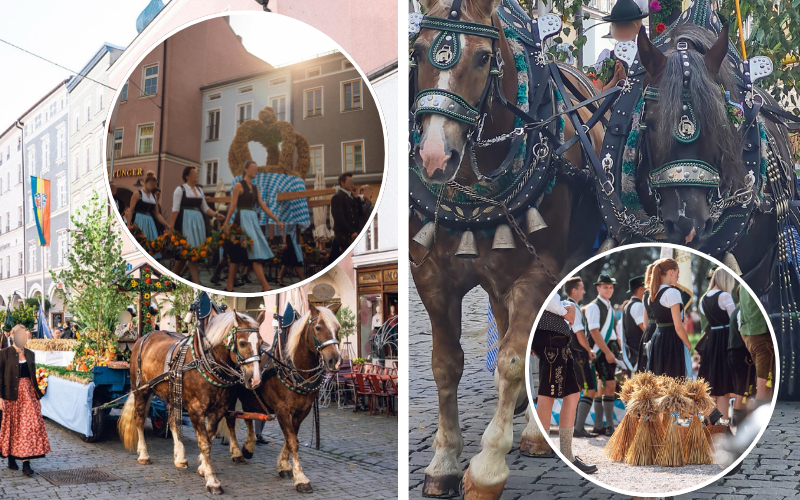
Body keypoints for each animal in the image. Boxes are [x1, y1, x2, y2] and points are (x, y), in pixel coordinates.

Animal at [117, 310, 260, 494]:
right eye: (242, 343)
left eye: (261, 343)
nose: (255, 379)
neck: (206, 363)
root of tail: (144, 337)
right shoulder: (196, 410)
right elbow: (204, 443)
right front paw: (212, 480)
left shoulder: (218, 410)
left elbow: (209, 438)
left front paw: (203, 467)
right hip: (141, 390)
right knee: (139, 419)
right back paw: (143, 454)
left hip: (173, 395)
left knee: (172, 421)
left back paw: (180, 457)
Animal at [220, 302, 342, 494]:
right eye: (318, 327)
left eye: (337, 329)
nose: (335, 361)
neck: (293, 370)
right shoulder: (283, 410)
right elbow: (292, 442)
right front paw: (301, 479)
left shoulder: (301, 411)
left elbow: (291, 438)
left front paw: (284, 466)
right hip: (231, 396)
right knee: (231, 420)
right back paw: (237, 452)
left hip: (249, 395)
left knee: (248, 415)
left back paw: (248, 446)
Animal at [412, 0, 600, 500]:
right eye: (417, 51)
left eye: (482, 58)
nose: (434, 157)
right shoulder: (432, 276)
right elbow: (445, 365)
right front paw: (443, 461)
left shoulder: (539, 271)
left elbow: (514, 360)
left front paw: (486, 468)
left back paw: (535, 433)